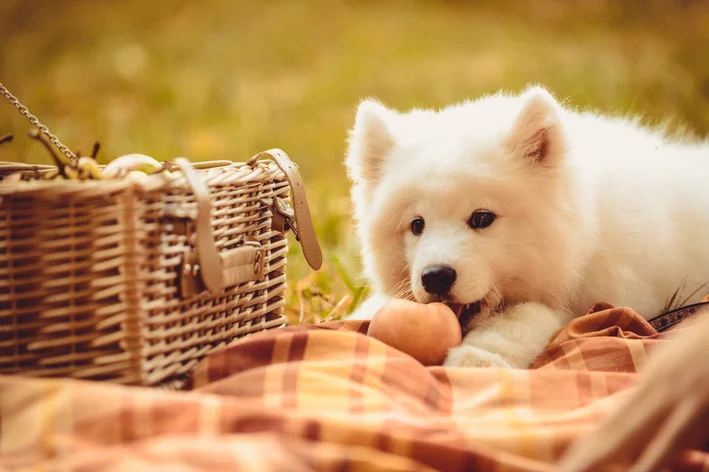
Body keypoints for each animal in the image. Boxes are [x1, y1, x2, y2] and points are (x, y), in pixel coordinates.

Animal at [346, 86, 708, 370]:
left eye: (482, 218)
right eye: (416, 225)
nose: (435, 276)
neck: (588, 227)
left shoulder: (603, 299)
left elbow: (527, 316)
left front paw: (478, 356)